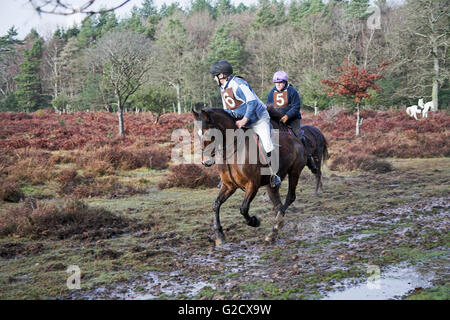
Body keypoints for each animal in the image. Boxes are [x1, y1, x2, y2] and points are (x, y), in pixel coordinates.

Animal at [192, 108, 328, 245]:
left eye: (209, 134)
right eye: (197, 134)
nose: (205, 162)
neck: (234, 150)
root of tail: (297, 140)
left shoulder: (252, 185)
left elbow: (243, 208)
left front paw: (254, 221)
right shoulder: (229, 185)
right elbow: (216, 205)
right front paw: (219, 235)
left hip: (295, 172)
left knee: (290, 197)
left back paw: (276, 225)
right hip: (271, 184)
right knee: (278, 204)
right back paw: (274, 230)